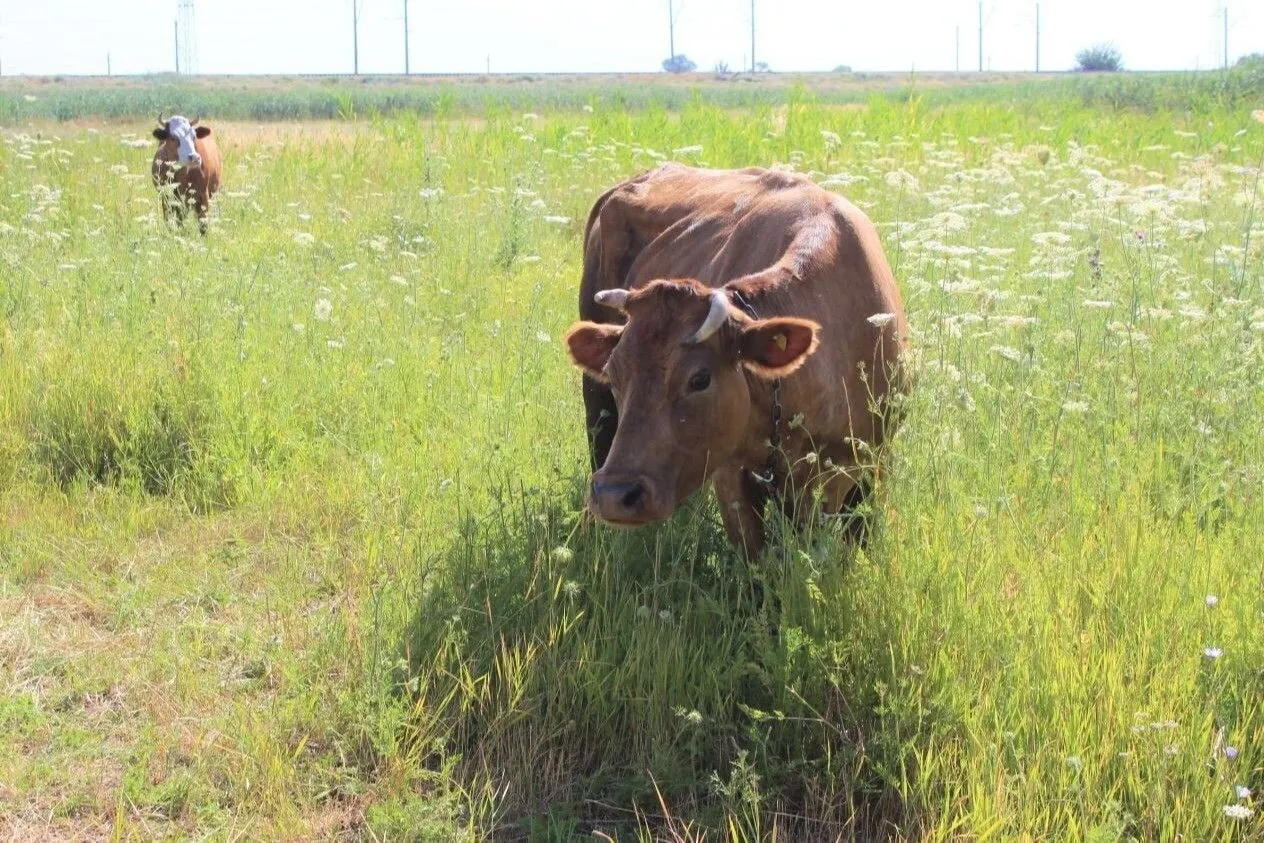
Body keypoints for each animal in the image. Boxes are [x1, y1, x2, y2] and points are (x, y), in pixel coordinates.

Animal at [563, 164, 910, 561]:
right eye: (615, 373)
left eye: (700, 379)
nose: (615, 496)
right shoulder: (730, 475)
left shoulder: (867, 462)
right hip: (597, 409)